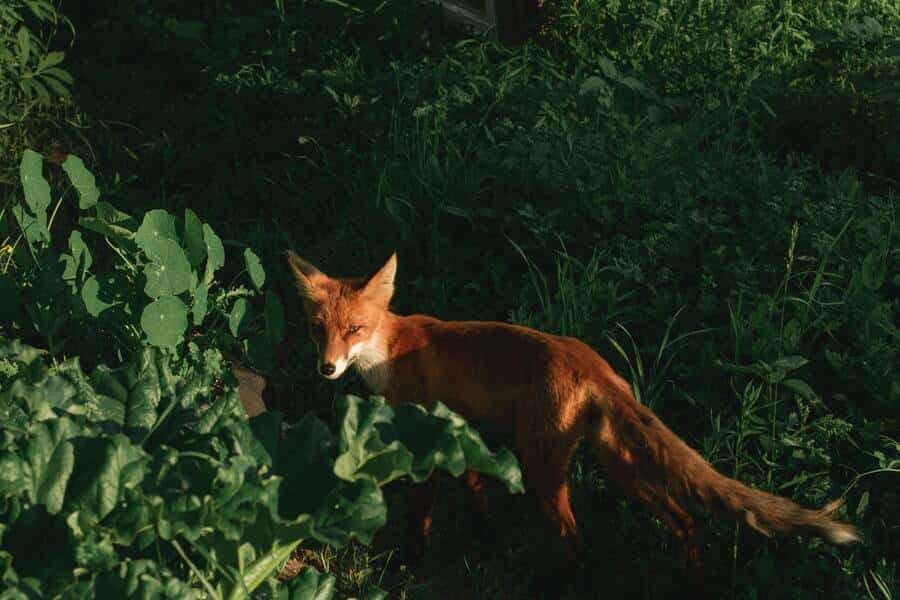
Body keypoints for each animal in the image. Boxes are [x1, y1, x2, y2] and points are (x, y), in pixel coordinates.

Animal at [286, 250, 861, 572]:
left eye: (354, 330)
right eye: (318, 329)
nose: (327, 368)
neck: (389, 350)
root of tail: (589, 362)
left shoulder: (424, 444)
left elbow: (421, 517)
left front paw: (413, 565)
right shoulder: (459, 436)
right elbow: (477, 492)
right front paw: (489, 540)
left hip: (542, 470)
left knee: (575, 535)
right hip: (618, 463)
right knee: (684, 520)